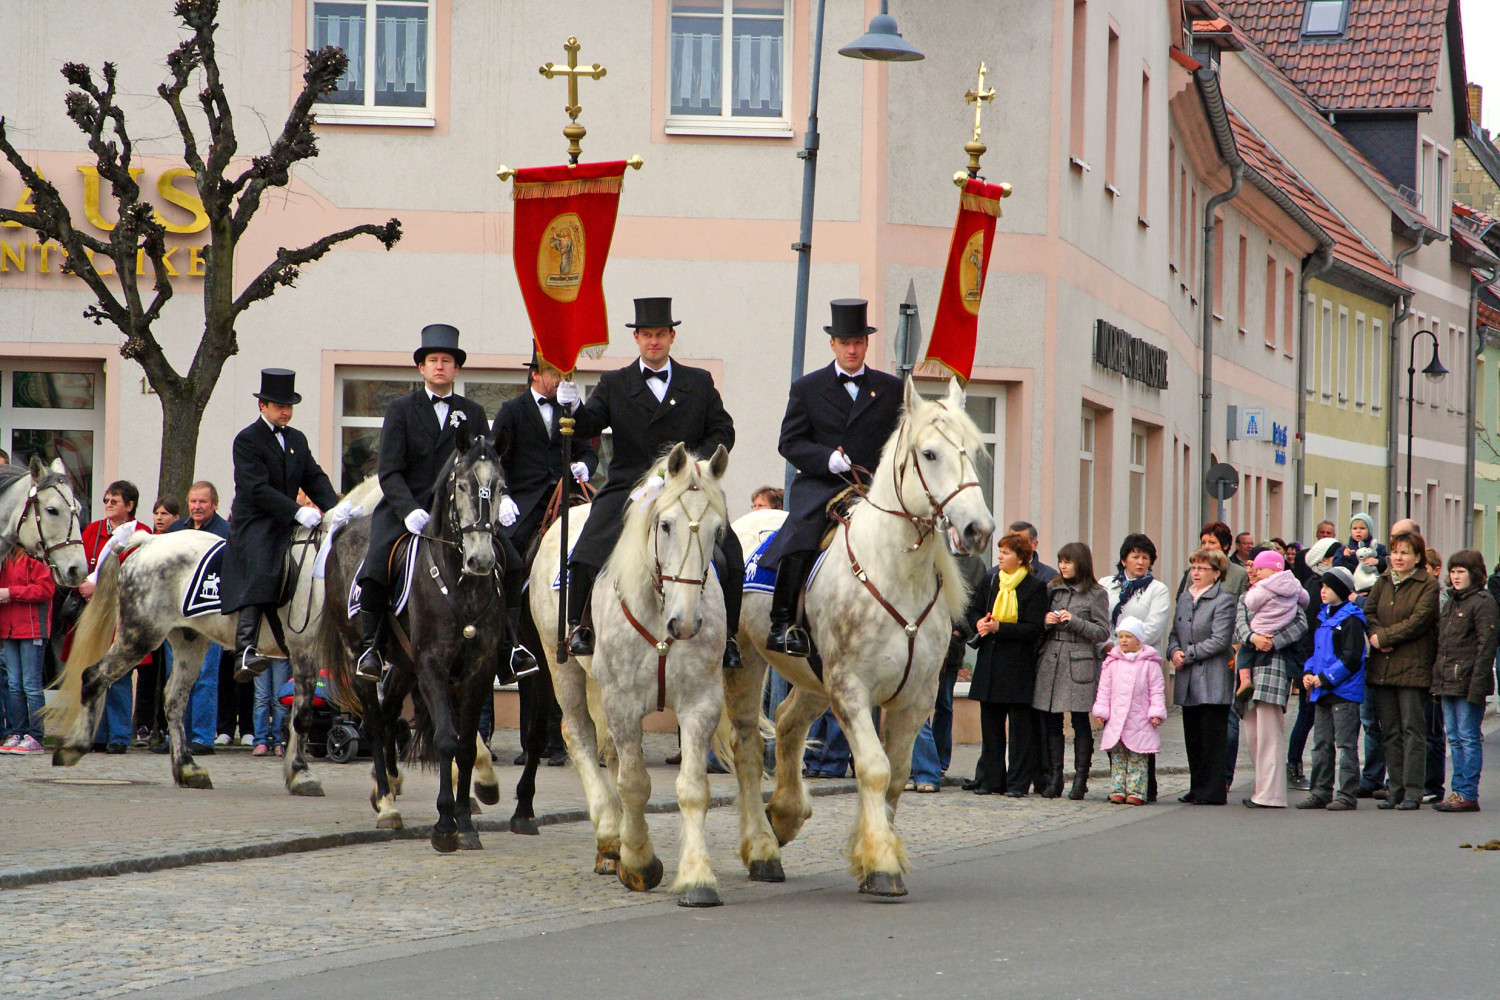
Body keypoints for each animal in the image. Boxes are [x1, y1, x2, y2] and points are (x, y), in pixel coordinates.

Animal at [531, 443, 774, 905]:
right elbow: (634, 784)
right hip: (561, 665)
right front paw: (640, 862)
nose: (686, 624)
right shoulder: (622, 703)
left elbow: (692, 789)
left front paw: (697, 878)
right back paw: (611, 837)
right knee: (579, 734)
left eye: (717, 531)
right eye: (665, 525)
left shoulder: (700, 702)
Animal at [741, 380, 996, 899]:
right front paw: (879, 863)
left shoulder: (915, 697)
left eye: (973, 451)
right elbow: (875, 770)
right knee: (747, 748)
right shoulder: (851, 688)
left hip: (813, 680)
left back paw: (786, 816)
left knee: (788, 722)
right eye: (930, 453)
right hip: (746, 661)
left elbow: (897, 776)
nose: (979, 530)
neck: (897, 570)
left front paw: (877, 855)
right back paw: (762, 848)